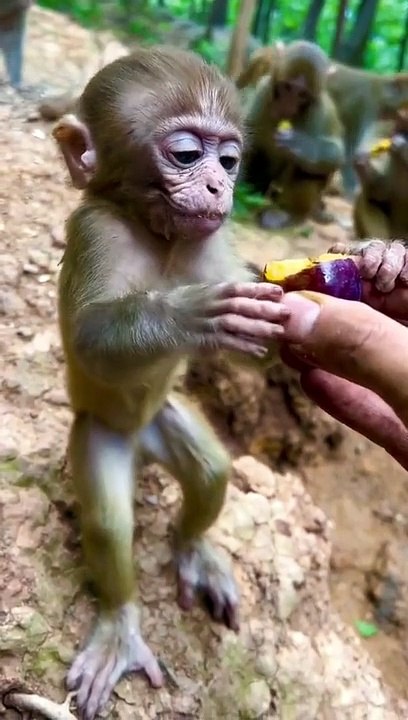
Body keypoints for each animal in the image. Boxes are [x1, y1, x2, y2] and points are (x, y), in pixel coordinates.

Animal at [52, 46, 290, 720]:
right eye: (186, 154)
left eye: (229, 160)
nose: (219, 187)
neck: (156, 235)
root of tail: (138, 447)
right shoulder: (95, 230)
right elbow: (89, 340)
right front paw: (186, 316)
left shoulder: (214, 242)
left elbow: (263, 340)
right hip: (99, 435)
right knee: (110, 524)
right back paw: (120, 626)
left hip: (165, 421)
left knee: (211, 472)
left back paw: (191, 549)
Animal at [243, 40, 345, 230]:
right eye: (287, 87)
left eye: (302, 94)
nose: (286, 105)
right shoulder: (264, 91)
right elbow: (246, 143)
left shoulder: (318, 111)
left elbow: (336, 154)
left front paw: (301, 146)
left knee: (307, 170)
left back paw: (288, 214)